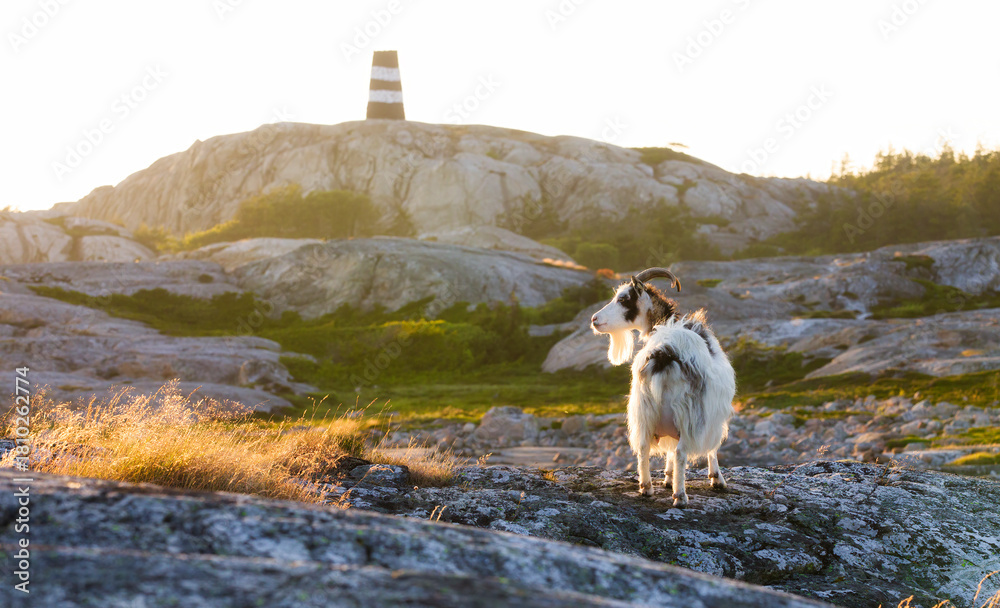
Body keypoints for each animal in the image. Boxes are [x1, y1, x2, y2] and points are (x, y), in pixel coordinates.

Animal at [591, 268, 736, 507]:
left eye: (623, 299)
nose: (594, 319)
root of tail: (664, 353)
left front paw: (667, 478)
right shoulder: (712, 414)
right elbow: (712, 448)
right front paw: (717, 479)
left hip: (644, 409)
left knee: (643, 448)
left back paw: (646, 488)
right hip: (688, 412)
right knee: (680, 452)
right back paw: (680, 496)